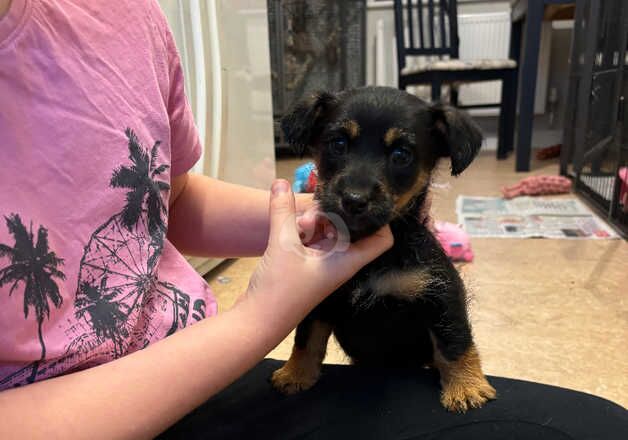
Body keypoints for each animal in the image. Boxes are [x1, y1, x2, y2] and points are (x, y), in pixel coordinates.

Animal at [272, 87, 498, 412]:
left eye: (401, 155)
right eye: (338, 144)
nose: (354, 200)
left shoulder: (442, 293)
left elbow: (454, 340)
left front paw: (466, 386)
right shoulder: (318, 297)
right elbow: (307, 337)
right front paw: (295, 373)